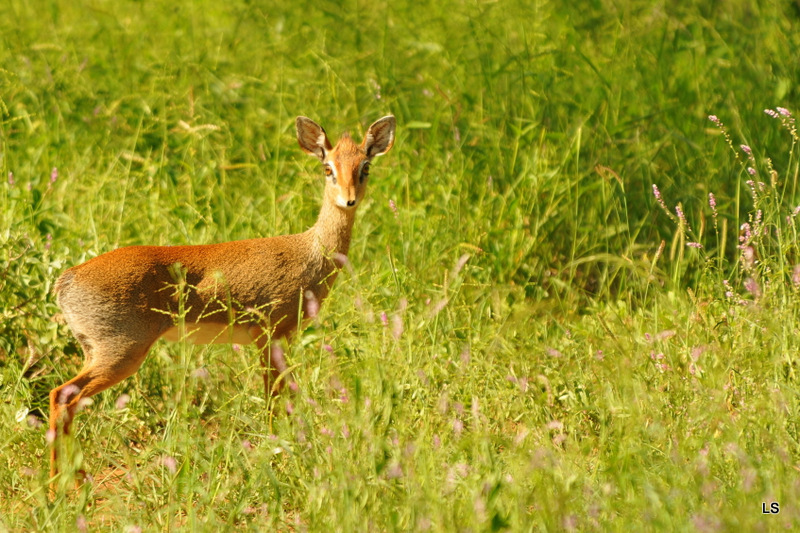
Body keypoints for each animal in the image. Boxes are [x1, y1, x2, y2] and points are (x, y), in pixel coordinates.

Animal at [48, 114, 396, 476]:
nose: (349, 199)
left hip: (96, 351)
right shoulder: (268, 334)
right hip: (121, 351)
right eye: (328, 167)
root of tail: (66, 280)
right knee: (62, 395)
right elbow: (274, 400)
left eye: (365, 166)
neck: (310, 254)